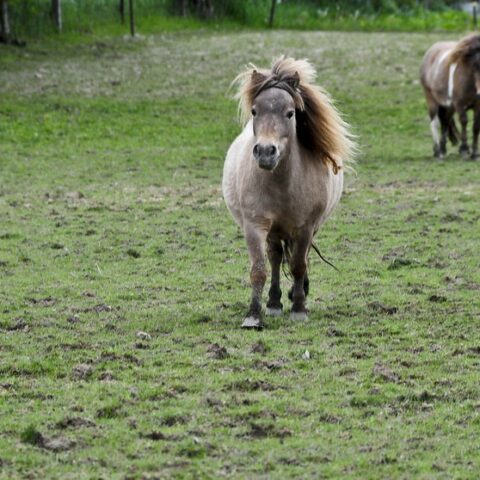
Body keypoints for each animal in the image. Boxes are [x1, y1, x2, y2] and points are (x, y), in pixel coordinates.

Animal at [223, 54, 354, 328]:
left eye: (290, 113)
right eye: (255, 111)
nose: (265, 152)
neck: (281, 184)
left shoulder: (305, 228)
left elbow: (298, 266)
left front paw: (299, 308)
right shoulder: (254, 226)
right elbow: (259, 269)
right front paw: (254, 315)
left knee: (298, 258)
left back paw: (296, 294)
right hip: (273, 231)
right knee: (274, 258)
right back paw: (273, 303)